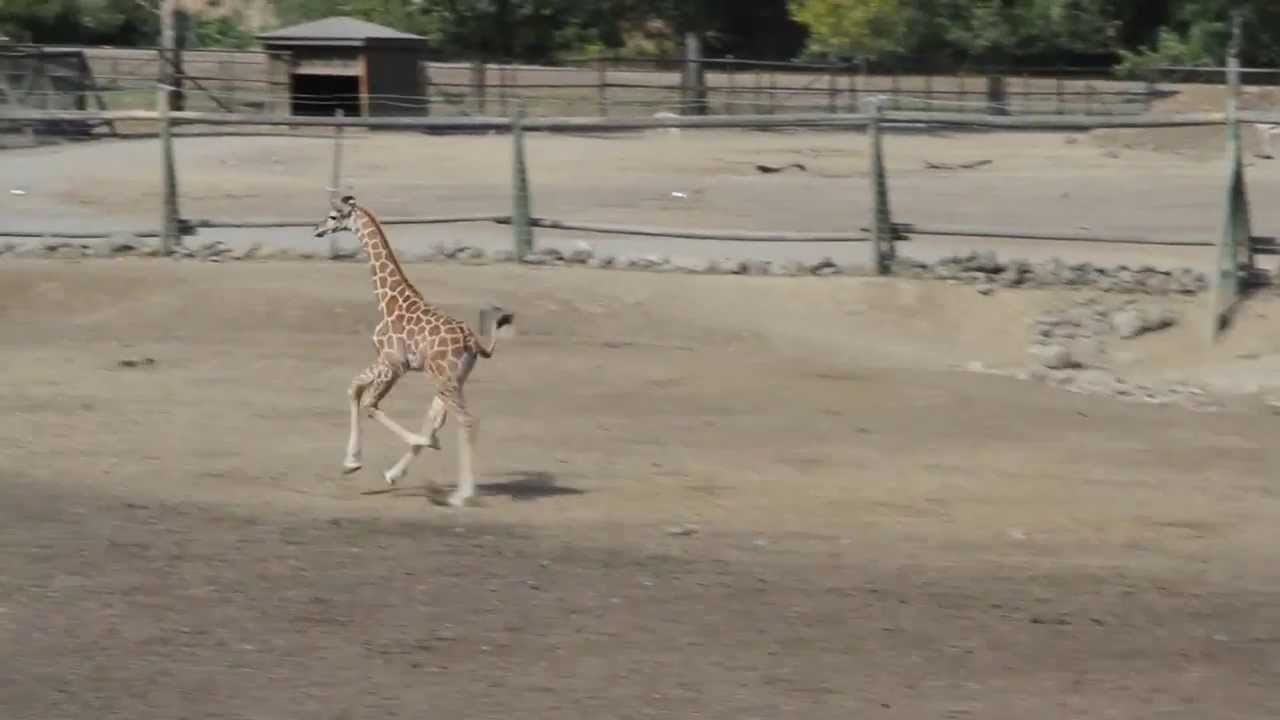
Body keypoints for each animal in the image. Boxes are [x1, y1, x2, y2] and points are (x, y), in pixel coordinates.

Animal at [313, 194, 512, 508]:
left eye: (334, 216)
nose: (317, 229)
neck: (388, 300)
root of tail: (474, 343)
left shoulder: (393, 364)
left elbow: (369, 403)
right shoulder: (388, 362)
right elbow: (354, 388)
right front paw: (351, 462)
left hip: (442, 379)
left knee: (465, 420)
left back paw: (461, 495)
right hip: (452, 379)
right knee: (438, 418)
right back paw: (400, 474)